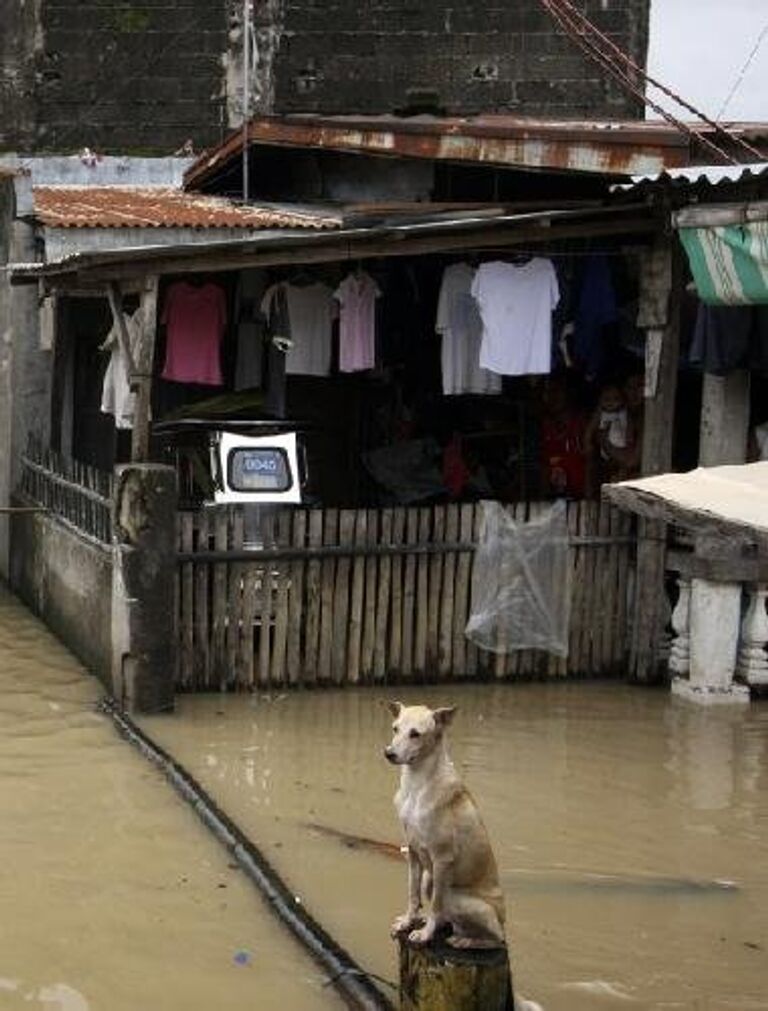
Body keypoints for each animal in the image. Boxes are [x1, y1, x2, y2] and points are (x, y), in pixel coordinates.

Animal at [381, 703, 503, 946]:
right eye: (395, 728)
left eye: (415, 734)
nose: (389, 753)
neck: (416, 786)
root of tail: (503, 921)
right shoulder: (413, 853)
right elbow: (412, 894)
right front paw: (407, 922)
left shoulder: (441, 859)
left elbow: (436, 906)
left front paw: (425, 934)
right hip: (429, 879)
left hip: (455, 895)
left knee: (495, 939)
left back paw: (464, 941)